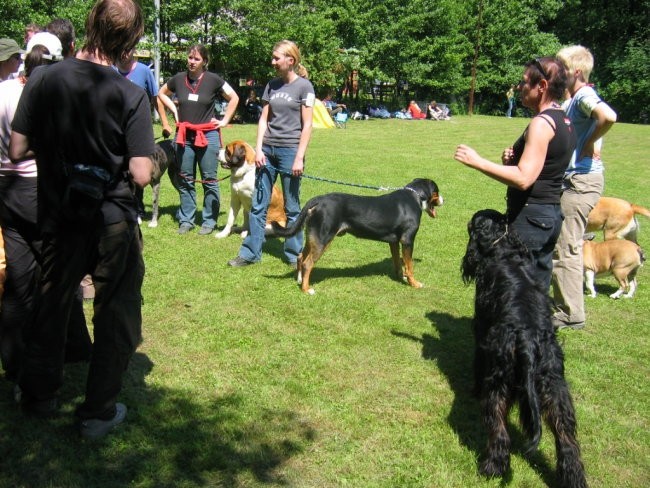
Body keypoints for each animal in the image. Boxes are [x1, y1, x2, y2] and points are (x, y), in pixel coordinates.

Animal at [458, 210, 584, 488]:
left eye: (472, 224)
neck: (504, 250)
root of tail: (527, 339)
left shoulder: (481, 328)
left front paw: (472, 390)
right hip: (555, 387)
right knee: (567, 439)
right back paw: (573, 478)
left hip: (499, 382)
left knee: (499, 430)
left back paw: (492, 467)